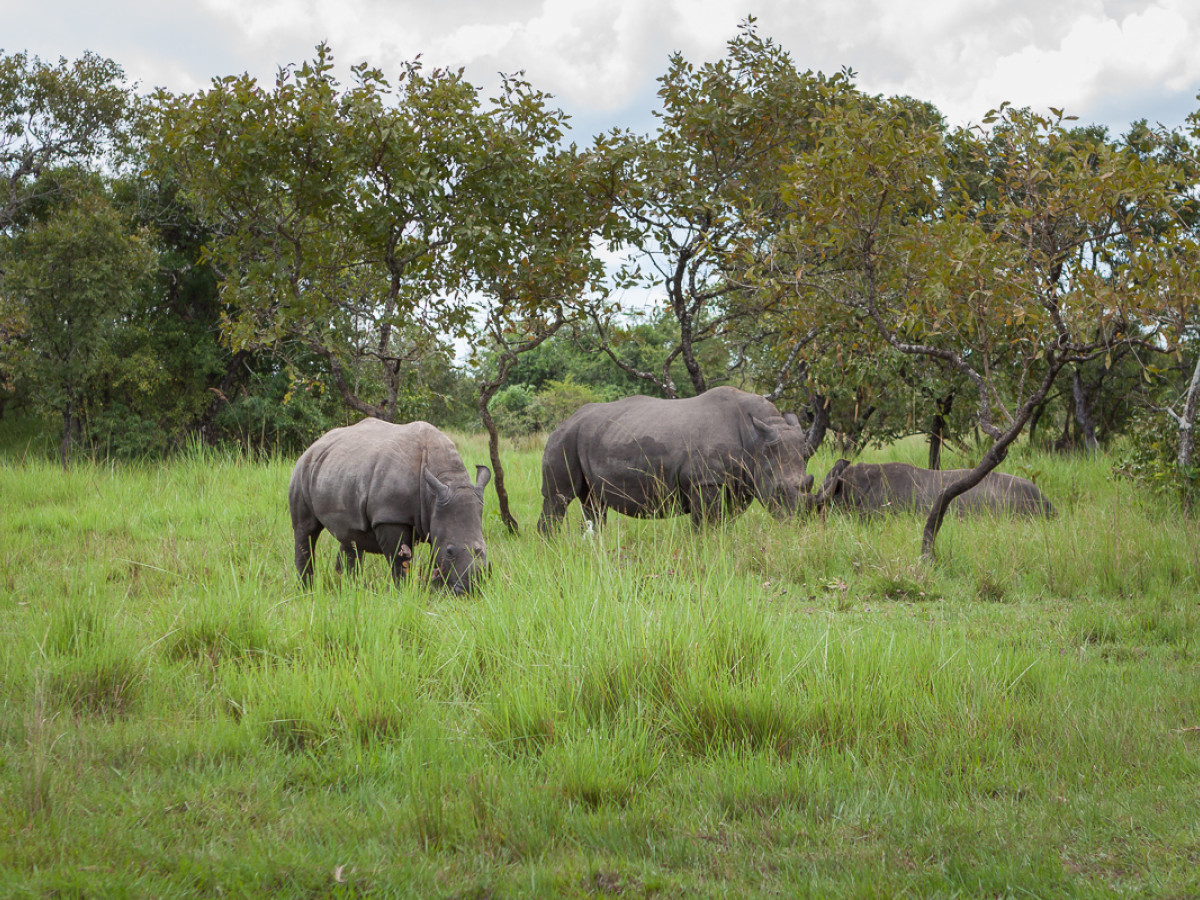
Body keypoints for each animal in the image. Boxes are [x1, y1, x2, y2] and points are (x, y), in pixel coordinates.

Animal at [289, 418, 490, 593]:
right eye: (450, 551)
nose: (471, 590)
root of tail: (314, 445)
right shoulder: (390, 516)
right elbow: (399, 560)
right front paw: (404, 592)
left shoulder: (437, 515)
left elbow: (435, 555)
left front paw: (436, 590)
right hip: (301, 470)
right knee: (305, 530)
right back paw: (306, 591)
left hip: (341, 469)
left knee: (350, 536)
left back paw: (348, 588)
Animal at [538, 386, 815, 532]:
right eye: (779, 491)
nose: (797, 525)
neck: (756, 439)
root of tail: (564, 421)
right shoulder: (705, 481)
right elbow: (706, 522)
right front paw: (706, 547)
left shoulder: (742, 480)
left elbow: (725, 518)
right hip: (564, 438)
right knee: (558, 497)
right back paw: (551, 547)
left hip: (589, 435)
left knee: (594, 502)